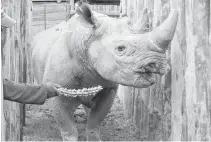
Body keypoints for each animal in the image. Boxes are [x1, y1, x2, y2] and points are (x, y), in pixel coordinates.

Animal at [31, 2, 178, 141]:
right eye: (120, 48)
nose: (157, 65)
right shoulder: (58, 90)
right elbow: (68, 129)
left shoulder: (108, 88)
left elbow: (95, 123)